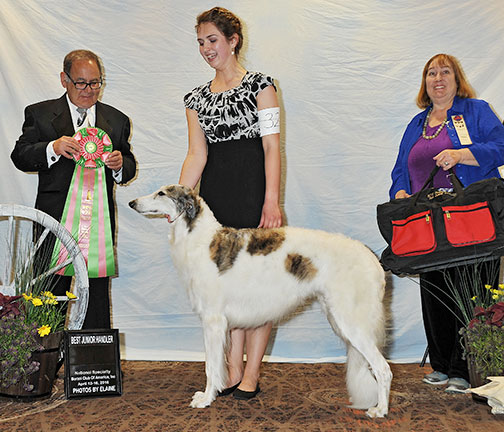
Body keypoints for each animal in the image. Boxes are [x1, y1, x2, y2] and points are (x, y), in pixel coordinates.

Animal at [128, 186, 392, 418]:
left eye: (161, 193)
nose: (131, 202)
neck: (202, 240)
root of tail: (373, 261)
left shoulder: (213, 321)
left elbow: (210, 366)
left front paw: (205, 398)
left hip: (351, 322)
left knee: (384, 369)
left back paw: (380, 410)